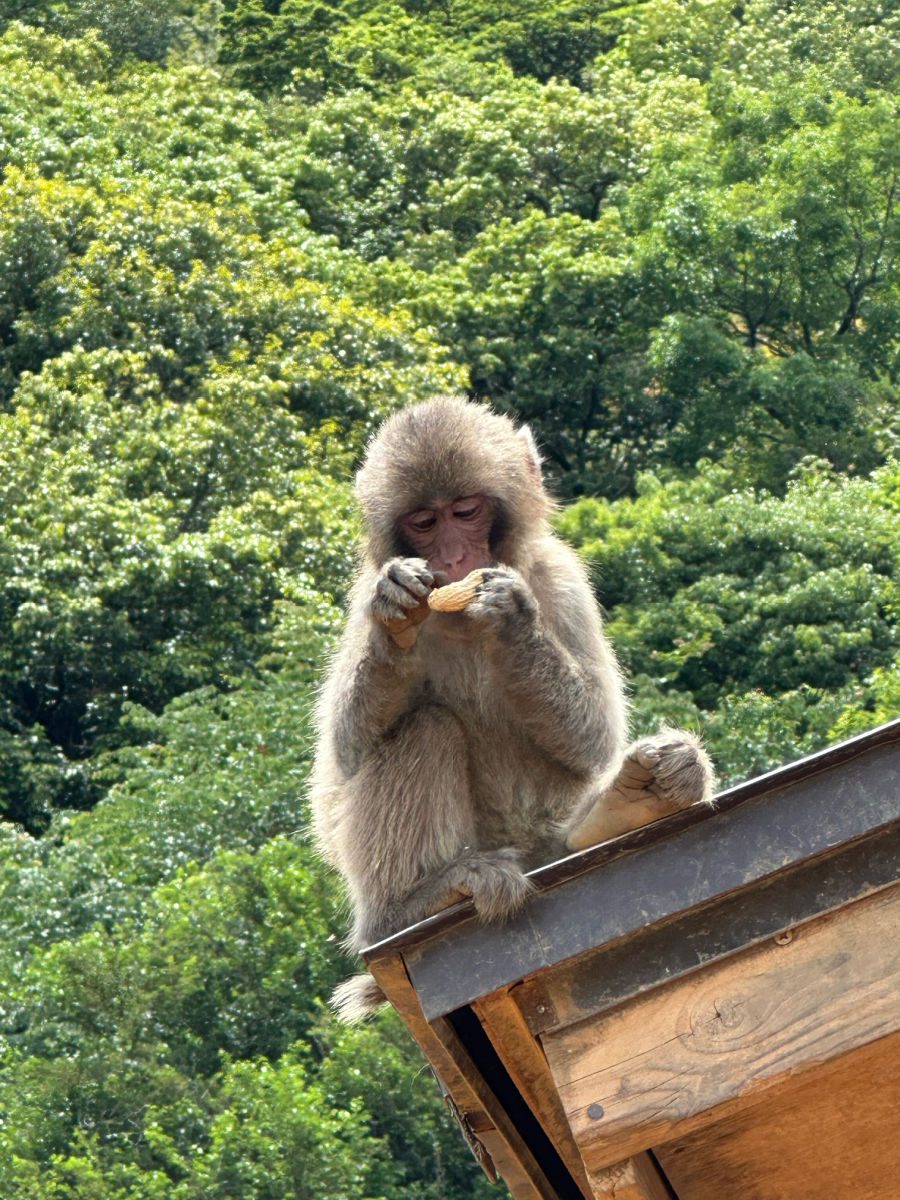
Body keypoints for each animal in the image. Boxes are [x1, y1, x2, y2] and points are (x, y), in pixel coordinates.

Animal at [312, 398, 720, 1017]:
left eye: (466, 510)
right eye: (425, 522)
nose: (455, 555)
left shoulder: (560, 577)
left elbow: (594, 739)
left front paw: (512, 618)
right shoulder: (362, 597)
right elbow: (344, 755)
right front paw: (394, 619)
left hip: (545, 838)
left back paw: (632, 801)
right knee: (426, 725)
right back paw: (415, 903)